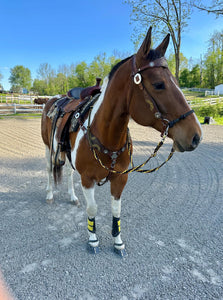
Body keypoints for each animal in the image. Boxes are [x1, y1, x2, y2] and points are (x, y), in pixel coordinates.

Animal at [41, 27, 202, 255]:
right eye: (158, 84)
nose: (196, 136)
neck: (106, 135)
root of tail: (54, 99)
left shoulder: (120, 179)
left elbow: (116, 210)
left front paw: (118, 241)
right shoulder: (88, 179)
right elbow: (93, 208)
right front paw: (93, 240)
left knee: (70, 174)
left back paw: (72, 197)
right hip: (48, 147)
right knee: (49, 169)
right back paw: (49, 195)